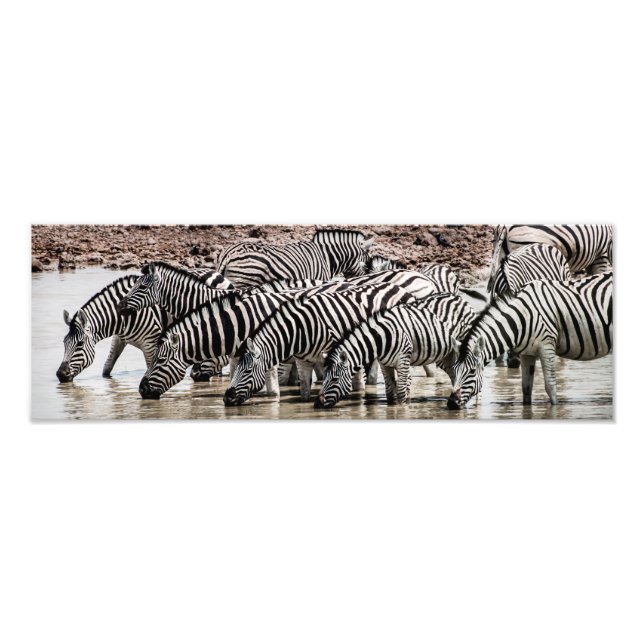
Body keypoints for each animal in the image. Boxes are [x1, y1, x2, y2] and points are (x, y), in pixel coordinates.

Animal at [222, 282, 416, 406]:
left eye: (247, 371)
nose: (226, 399)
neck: (300, 330)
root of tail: (400, 288)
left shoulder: (333, 353)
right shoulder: (302, 360)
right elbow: (304, 391)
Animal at [446, 271, 613, 409]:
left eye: (472, 371)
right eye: (454, 369)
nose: (451, 404)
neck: (522, 318)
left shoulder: (547, 346)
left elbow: (550, 386)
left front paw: (554, 409)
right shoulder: (527, 353)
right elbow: (526, 388)